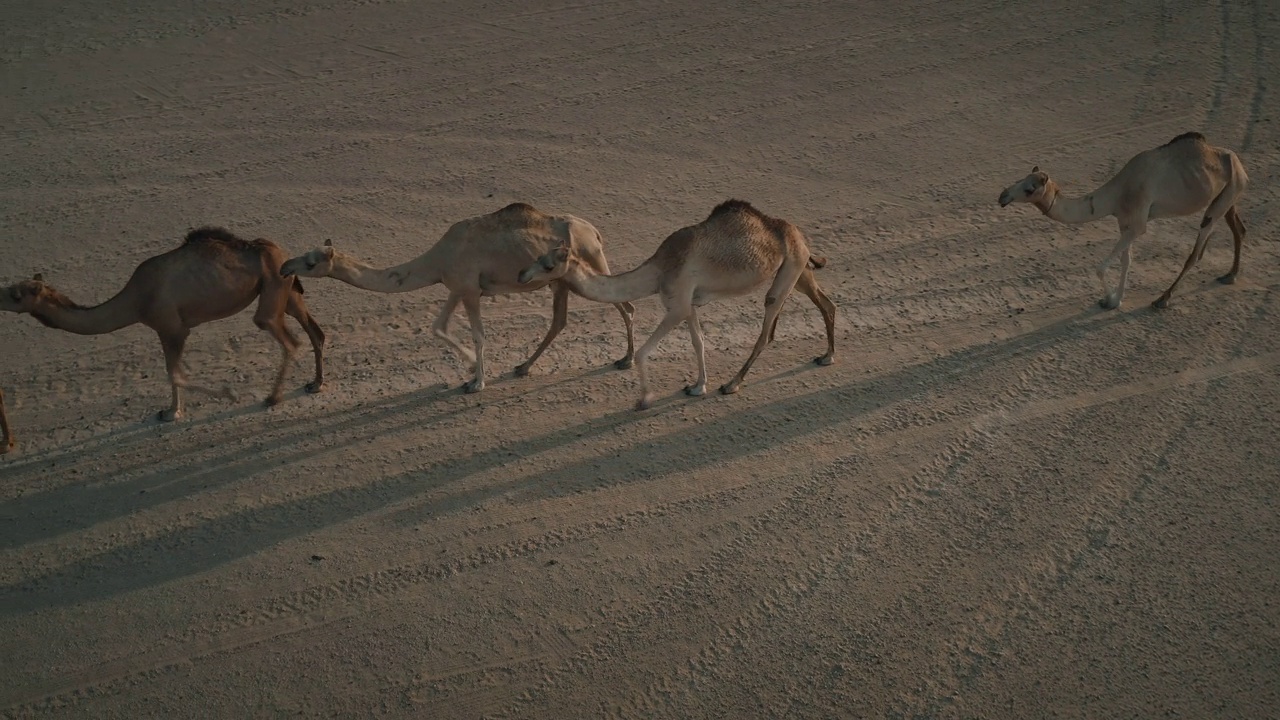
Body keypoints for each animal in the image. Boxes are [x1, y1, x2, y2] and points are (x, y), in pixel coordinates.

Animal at [2, 226, 330, 420]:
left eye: (16, 295)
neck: (134, 299)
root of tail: (280, 250)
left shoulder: (172, 327)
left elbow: (174, 374)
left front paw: (175, 411)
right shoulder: (165, 330)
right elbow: (174, 373)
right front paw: (174, 409)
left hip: (271, 289)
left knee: (288, 339)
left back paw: (273, 397)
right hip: (283, 286)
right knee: (314, 330)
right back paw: (315, 383)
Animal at [282, 199, 637, 392]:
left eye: (311, 262)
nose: (285, 266)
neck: (437, 259)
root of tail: (595, 232)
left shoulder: (469, 289)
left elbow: (478, 335)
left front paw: (476, 382)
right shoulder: (456, 287)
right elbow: (438, 326)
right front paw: (468, 368)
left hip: (592, 260)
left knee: (625, 305)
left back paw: (626, 359)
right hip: (561, 280)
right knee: (559, 321)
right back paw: (523, 367)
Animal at [514, 196, 834, 409]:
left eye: (547, 265)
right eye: (538, 257)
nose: (521, 275)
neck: (658, 270)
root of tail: (796, 231)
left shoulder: (677, 304)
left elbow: (644, 352)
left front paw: (644, 399)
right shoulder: (688, 303)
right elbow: (698, 342)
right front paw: (697, 386)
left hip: (790, 268)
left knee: (768, 325)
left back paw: (732, 384)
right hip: (797, 265)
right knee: (826, 303)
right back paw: (827, 356)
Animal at [998, 131, 1249, 308]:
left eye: (1030, 189)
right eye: (1019, 179)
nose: (1003, 196)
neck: (1118, 193)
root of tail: (1238, 162)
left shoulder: (1137, 224)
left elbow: (1101, 267)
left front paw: (1108, 299)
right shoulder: (1124, 222)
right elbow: (1126, 261)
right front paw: (1116, 300)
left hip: (1224, 196)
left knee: (1197, 249)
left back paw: (1163, 299)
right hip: (1227, 194)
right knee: (1238, 229)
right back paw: (1231, 275)